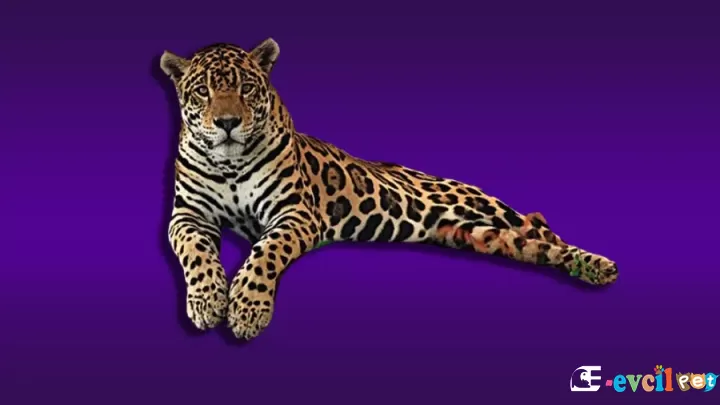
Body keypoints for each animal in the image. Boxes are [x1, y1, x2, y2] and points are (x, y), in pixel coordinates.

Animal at [159, 39, 619, 341]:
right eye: (203, 91)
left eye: (247, 88)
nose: (228, 123)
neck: (230, 164)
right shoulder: (188, 215)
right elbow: (195, 251)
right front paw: (206, 302)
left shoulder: (294, 214)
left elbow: (265, 254)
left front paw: (247, 309)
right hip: (481, 236)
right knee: (537, 247)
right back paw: (589, 270)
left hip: (486, 207)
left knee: (546, 231)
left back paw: (599, 265)